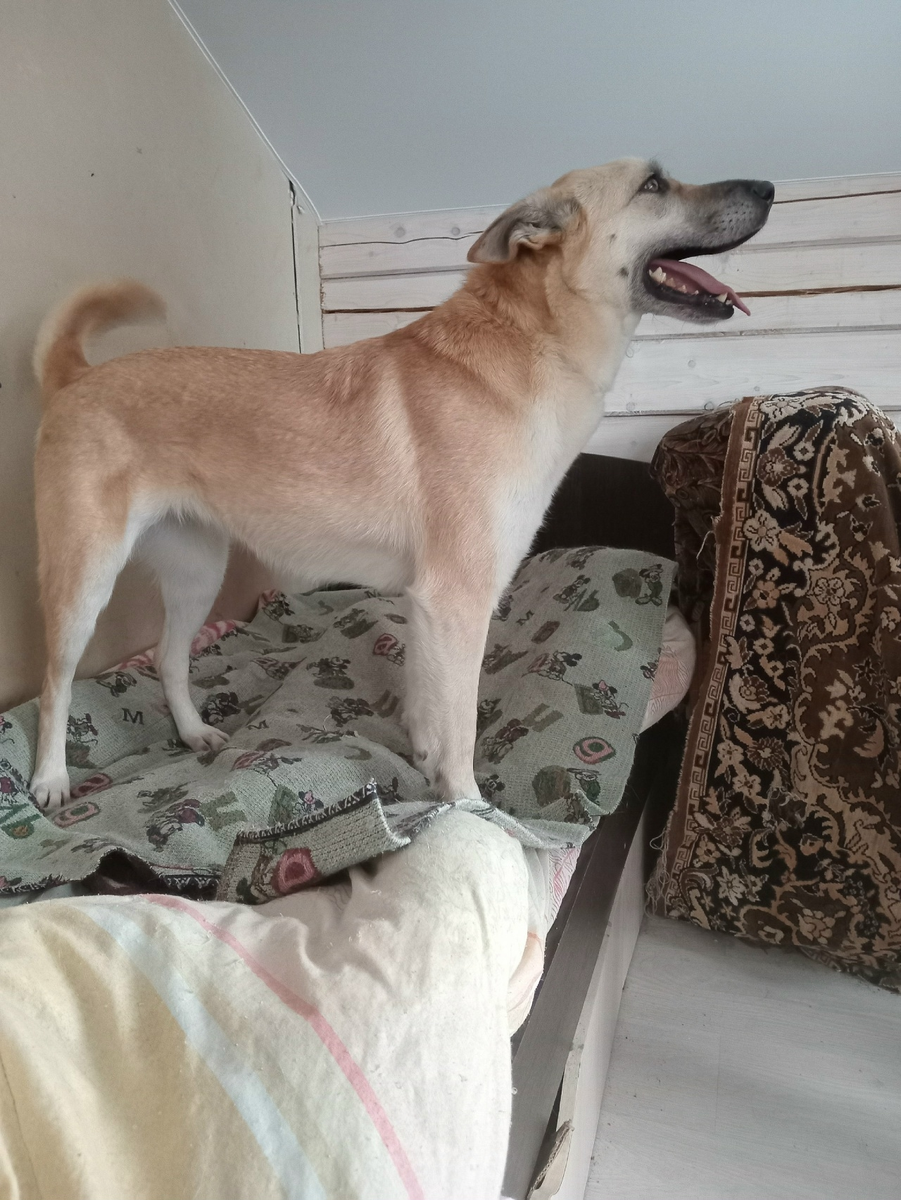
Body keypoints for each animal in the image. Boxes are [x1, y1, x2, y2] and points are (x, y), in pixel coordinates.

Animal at [28, 158, 773, 809]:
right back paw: (49, 780)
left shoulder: (427, 603)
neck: (534, 342)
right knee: (57, 683)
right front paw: (469, 809)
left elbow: (426, 704)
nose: (769, 187)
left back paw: (192, 733)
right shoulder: (459, 602)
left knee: (166, 657)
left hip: (196, 571)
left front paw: (423, 765)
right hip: (84, 581)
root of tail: (78, 376)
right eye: (654, 184)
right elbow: (461, 725)